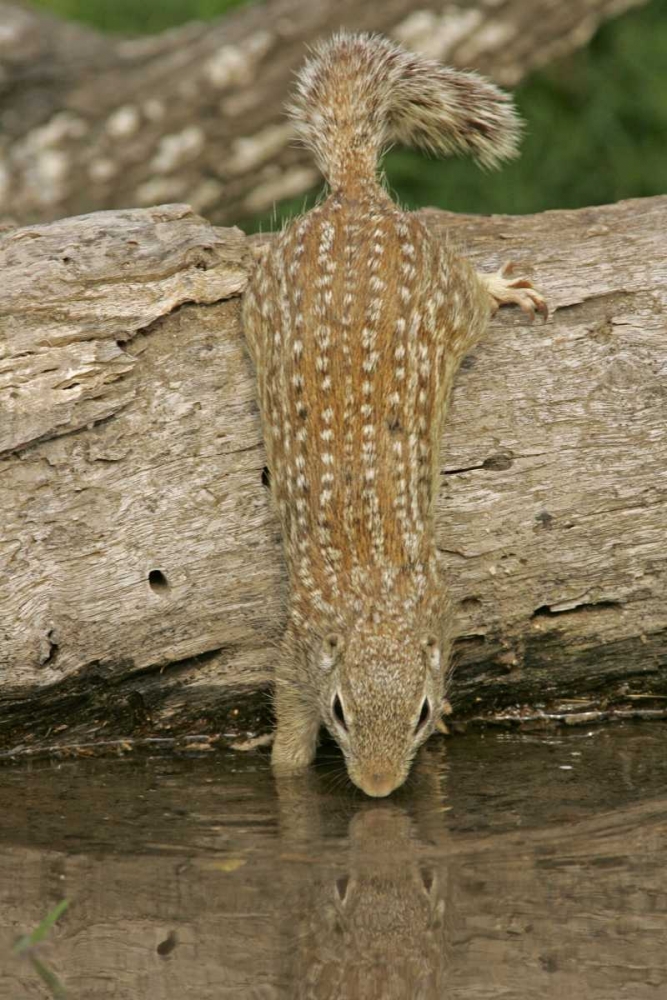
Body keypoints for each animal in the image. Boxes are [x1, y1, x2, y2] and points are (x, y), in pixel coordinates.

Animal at [242, 32, 547, 797]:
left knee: (474, 287)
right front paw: (286, 770)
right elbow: (287, 719)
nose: (378, 790)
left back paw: (503, 286)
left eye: (420, 714)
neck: (374, 598)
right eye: (340, 711)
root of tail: (355, 194)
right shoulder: (298, 645)